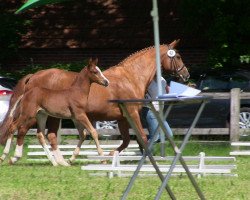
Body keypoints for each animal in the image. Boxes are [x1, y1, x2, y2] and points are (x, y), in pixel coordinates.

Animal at [0, 39, 188, 166]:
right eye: (178, 56)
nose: (186, 75)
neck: (130, 77)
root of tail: (34, 76)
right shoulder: (132, 113)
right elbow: (142, 136)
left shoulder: (122, 118)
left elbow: (127, 140)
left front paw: (109, 155)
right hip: (37, 114)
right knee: (22, 130)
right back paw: (13, 156)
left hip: (48, 115)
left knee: (41, 134)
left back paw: (60, 161)